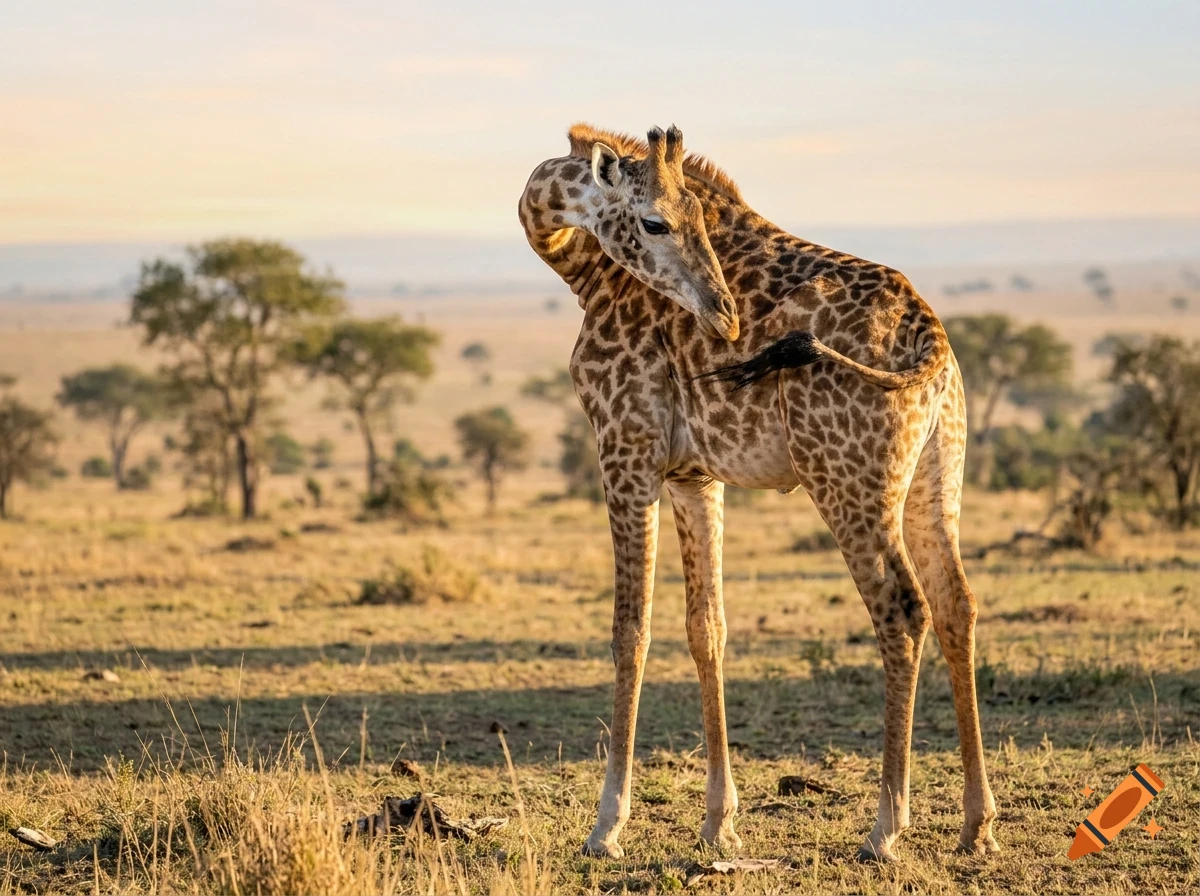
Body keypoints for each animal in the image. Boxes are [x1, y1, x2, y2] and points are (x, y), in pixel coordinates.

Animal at [518, 124, 997, 863]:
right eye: (654, 221)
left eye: (697, 222)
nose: (724, 320)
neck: (580, 270)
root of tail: (930, 340)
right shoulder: (694, 474)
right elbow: (706, 627)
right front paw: (719, 821)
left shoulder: (625, 447)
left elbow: (631, 630)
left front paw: (606, 826)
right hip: (935, 475)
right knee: (956, 604)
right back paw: (977, 822)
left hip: (847, 480)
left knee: (902, 610)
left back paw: (886, 827)